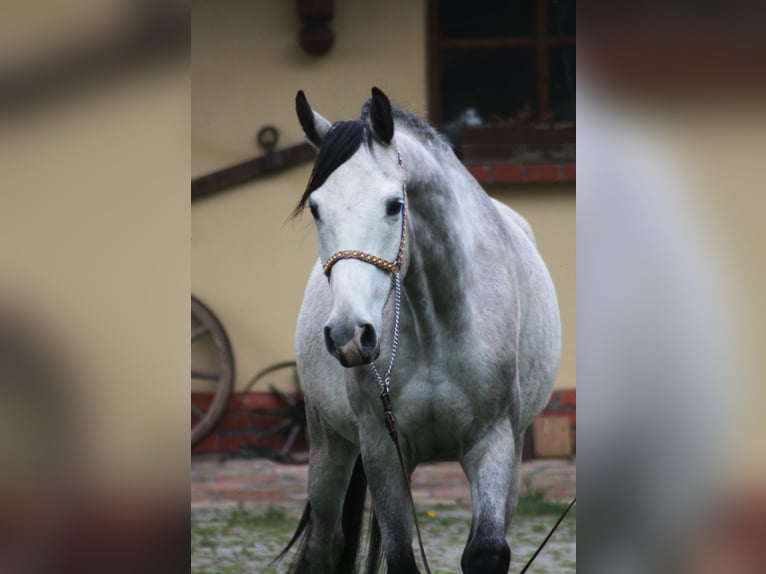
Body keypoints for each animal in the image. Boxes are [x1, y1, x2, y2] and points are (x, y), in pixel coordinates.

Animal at [280, 86, 560, 574]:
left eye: (395, 204)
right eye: (315, 208)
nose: (349, 335)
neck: (436, 326)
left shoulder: (493, 442)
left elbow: (486, 551)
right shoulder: (381, 446)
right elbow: (399, 556)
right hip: (329, 445)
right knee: (323, 543)